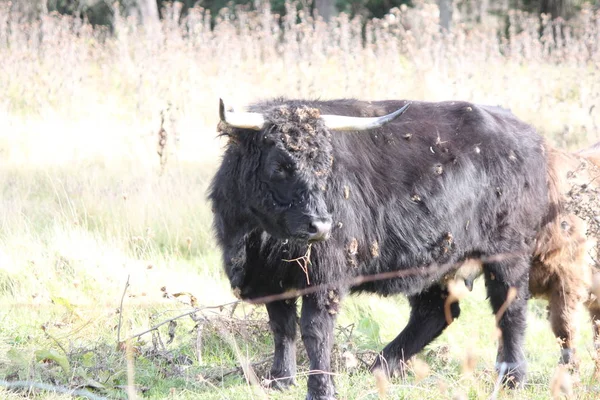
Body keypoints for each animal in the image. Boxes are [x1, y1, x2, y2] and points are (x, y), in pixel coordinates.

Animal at [209, 97, 552, 400]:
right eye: (279, 165)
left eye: (324, 165)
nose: (320, 226)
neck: (261, 240)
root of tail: (529, 136)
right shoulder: (271, 279)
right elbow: (282, 327)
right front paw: (280, 380)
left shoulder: (326, 279)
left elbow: (316, 331)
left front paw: (321, 389)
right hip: (435, 260)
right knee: (434, 313)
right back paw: (380, 367)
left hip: (507, 254)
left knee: (511, 311)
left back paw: (512, 378)